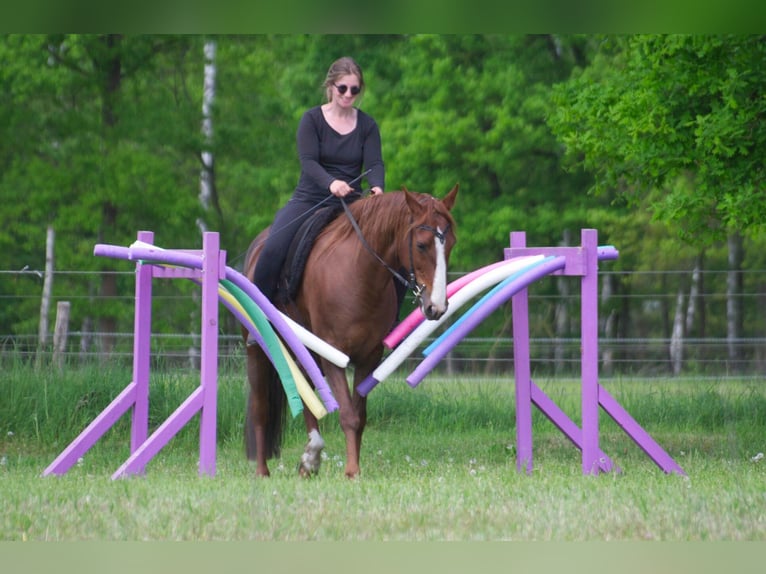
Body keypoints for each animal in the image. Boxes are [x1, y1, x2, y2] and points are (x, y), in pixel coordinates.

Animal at [246, 187, 460, 480]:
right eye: (421, 245)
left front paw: (352, 467)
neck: (359, 276)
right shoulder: (333, 354)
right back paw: (262, 471)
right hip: (258, 350)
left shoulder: (369, 357)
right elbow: (348, 414)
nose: (436, 307)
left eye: (451, 244)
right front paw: (351, 471)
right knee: (260, 409)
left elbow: (360, 416)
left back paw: (310, 457)